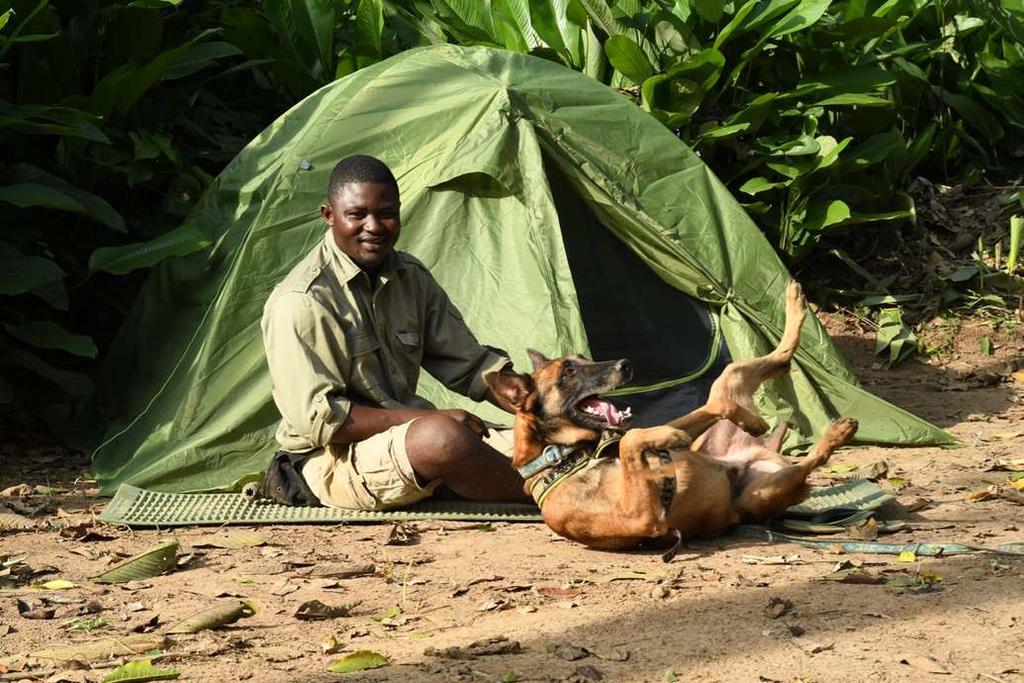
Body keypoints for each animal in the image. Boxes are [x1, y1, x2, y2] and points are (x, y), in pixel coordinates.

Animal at [487, 280, 856, 552]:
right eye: (568, 373)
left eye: (583, 358)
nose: (625, 364)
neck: (567, 458)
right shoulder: (643, 519)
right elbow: (630, 442)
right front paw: (663, 440)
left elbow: (632, 439)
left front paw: (662, 439)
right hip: (764, 493)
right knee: (806, 458)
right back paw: (835, 433)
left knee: (736, 382)